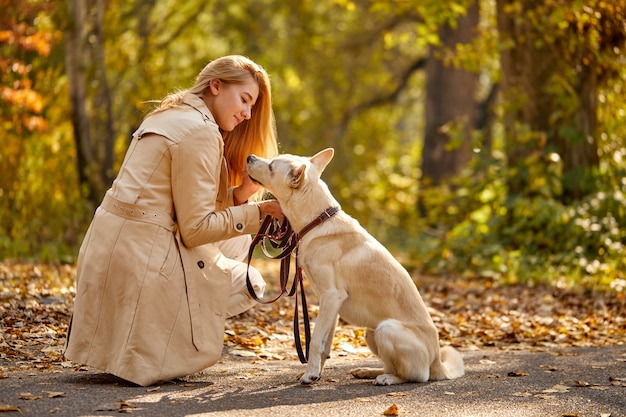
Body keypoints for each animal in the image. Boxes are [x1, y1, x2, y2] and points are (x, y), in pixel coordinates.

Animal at [245, 148, 464, 386]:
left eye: (271, 166)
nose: (249, 157)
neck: (318, 221)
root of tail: (438, 365)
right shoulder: (330, 304)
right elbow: (325, 345)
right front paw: (316, 373)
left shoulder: (331, 296)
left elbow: (315, 341)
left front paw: (309, 374)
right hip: (371, 332)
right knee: (392, 365)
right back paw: (369, 371)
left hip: (386, 329)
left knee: (415, 375)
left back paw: (387, 379)